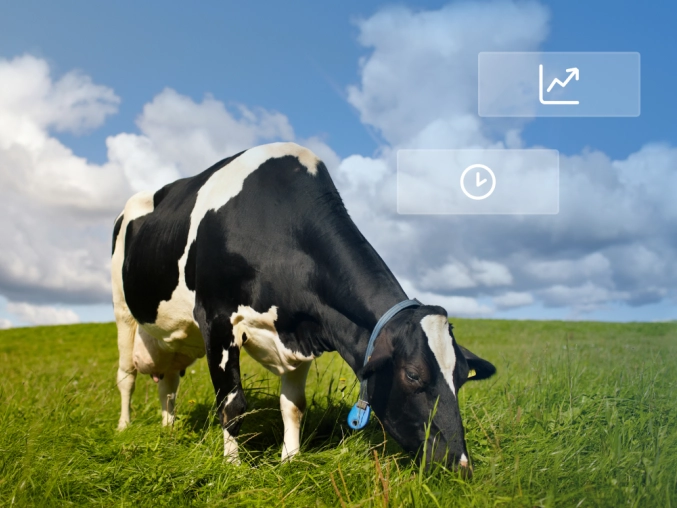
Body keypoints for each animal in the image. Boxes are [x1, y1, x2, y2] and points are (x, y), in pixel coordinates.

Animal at [111, 142, 495, 472]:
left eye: (461, 377)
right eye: (413, 375)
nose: (462, 466)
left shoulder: (303, 328)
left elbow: (293, 406)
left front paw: (291, 460)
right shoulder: (216, 318)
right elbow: (232, 404)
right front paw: (233, 466)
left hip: (172, 339)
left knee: (168, 383)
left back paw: (169, 428)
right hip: (123, 309)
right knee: (126, 375)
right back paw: (124, 426)